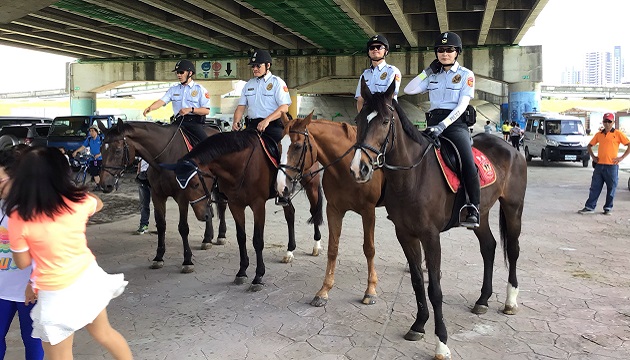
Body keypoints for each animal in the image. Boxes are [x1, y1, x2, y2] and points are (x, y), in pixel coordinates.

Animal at [97, 120, 228, 272]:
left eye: (118, 150)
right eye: (101, 149)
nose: (104, 185)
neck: (165, 159)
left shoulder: (182, 197)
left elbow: (183, 228)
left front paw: (187, 260)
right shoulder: (157, 195)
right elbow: (161, 225)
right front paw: (158, 257)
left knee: (222, 205)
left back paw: (221, 235)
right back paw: (207, 238)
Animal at [170, 129, 326, 292]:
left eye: (195, 184)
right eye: (180, 186)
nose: (203, 215)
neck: (241, 165)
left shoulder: (258, 205)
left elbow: (257, 240)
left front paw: (258, 277)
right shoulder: (235, 205)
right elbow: (241, 237)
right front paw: (242, 271)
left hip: (312, 186)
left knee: (314, 211)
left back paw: (316, 245)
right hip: (285, 192)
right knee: (290, 215)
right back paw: (289, 251)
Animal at [276, 113, 386, 306]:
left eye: (297, 146)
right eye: (279, 145)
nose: (282, 186)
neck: (347, 168)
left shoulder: (368, 211)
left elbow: (369, 248)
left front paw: (370, 290)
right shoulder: (334, 210)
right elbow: (332, 249)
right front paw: (324, 290)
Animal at [354, 79, 524, 360]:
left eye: (386, 121)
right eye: (358, 119)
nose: (360, 168)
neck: (413, 176)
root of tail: (511, 148)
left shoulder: (431, 236)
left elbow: (434, 288)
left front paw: (441, 342)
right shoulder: (405, 234)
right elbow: (416, 282)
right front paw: (418, 325)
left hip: (513, 208)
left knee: (512, 248)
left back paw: (510, 301)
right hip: (482, 214)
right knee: (489, 247)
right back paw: (482, 300)